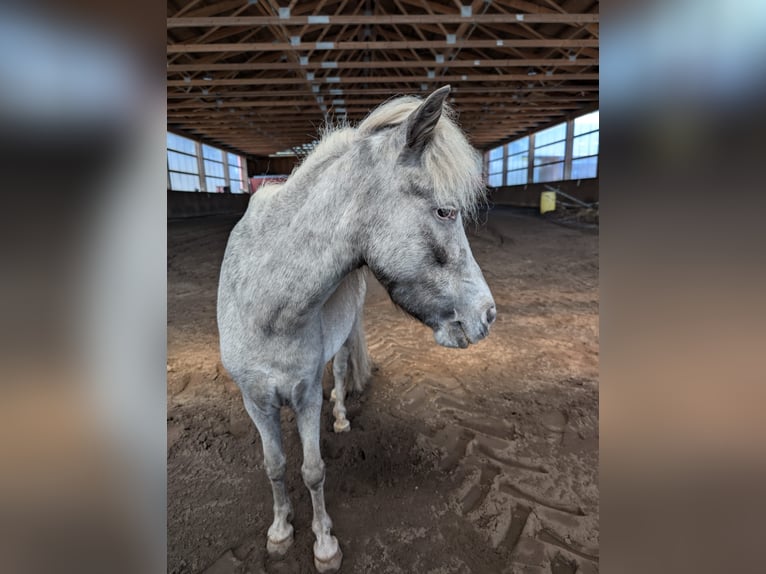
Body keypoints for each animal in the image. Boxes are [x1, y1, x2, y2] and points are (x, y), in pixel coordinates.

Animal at [217, 85, 496, 572]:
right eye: (445, 211)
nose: (488, 314)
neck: (264, 303)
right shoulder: (255, 398)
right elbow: (274, 465)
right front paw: (280, 531)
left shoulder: (306, 393)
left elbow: (313, 470)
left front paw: (324, 544)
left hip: (346, 340)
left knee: (344, 371)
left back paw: (343, 417)